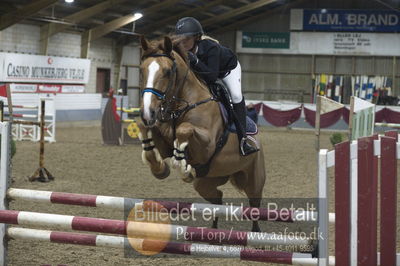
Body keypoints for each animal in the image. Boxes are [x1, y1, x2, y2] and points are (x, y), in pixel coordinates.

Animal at [138, 35, 266, 231]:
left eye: (167, 72)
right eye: (141, 70)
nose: (147, 112)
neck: (180, 105)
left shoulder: (207, 146)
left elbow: (185, 129)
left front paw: (181, 164)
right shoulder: (164, 143)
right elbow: (145, 130)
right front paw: (160, 169)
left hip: (253, 180)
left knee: (254, 205)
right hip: (206, 181)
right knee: (217, 199)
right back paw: (213, 229)